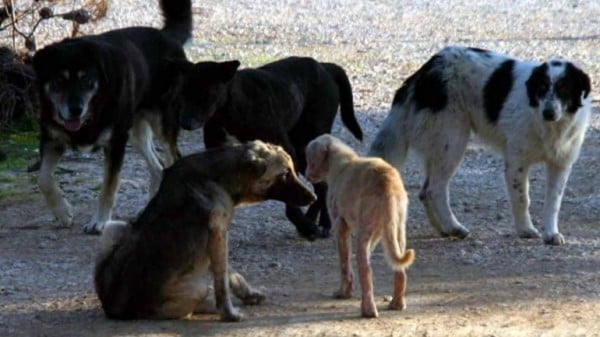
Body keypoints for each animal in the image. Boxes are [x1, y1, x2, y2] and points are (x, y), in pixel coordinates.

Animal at [32, 0, 192, 234]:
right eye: (59, 80)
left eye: (86, 79)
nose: (75, 109)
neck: (93, 109)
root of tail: (167, 35)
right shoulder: (52, 138)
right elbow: (43, 179)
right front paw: (63, 213)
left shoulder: (115, 143)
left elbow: (108, 186)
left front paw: (99, 221)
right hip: (136, 131)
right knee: (158, 167)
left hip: (162, 122)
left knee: (173, 158)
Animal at [95, 140, 316, 320]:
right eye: (285, 174)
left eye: (293, 170)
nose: (313, 197)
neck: (219, 176)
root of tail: (114, 307)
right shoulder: (218, 234)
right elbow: (222, 282)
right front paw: (229, 314)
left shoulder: (218, 240)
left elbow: (231, 274)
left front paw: (248, 295)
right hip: (196, 289)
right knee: (193, 303)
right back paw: (209, 306)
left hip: (115, 227)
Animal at [171, 55, 364, 239]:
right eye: (182, 93)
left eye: (207, 92)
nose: (185, 122)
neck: (230, 109)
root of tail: (325, 66)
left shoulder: (287, 152)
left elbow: (290, 199)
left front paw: (305, 226)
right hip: (302, 151)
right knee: (320, 185)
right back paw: (312, 219)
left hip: (308, 142)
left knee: (322, 184)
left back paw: (323, 223)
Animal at [308, 134, 414, 318]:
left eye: (309, 160)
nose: (307, 176)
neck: (342, 161)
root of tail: (387, 182)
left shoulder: (340, 225)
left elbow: (344, 263)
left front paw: (343, 293)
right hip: (397, 231)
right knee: (399, 270)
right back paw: (397, 304)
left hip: (364, 234)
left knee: (366, 270)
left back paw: (368, 310)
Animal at [370, 46, 592, 244]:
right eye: (542, 88)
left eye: (564, 89)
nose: (549, 112)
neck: (550, 126)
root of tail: (425, 71)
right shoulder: (516, 162)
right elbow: (522, 199)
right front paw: (526, 230)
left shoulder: (560, 164)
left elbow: (553, 202)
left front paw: (551, 234)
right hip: (452, 140)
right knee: (435, 189)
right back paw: (454, 227)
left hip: (440, 146)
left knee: (425, 192)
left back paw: (443, 229)